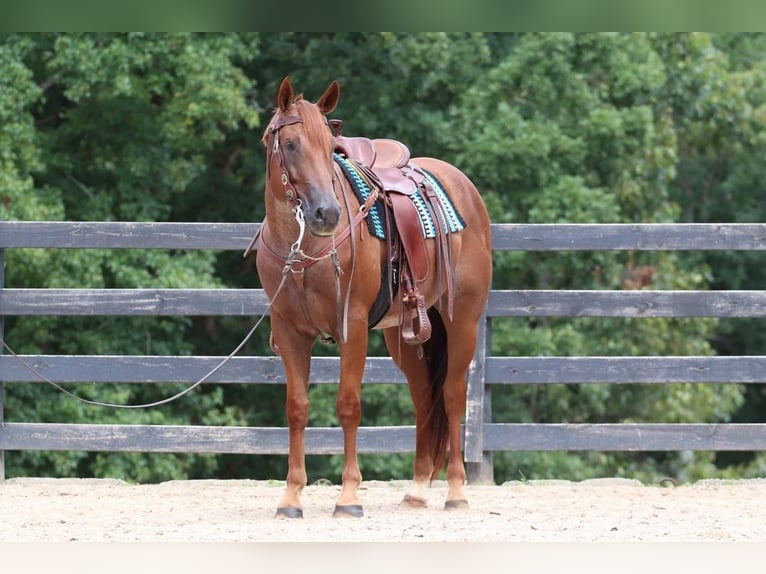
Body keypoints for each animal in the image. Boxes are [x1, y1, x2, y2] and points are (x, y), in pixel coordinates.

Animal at [249, 76, 496, 520]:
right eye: (290, 144)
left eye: (332, 148)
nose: (327, 214)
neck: (304, 249)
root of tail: (463, 187)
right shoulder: (289, 332)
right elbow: (297, 408)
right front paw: (291, 498)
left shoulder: (354, 327)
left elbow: (348, 404)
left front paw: (348, 496)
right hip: (409, 336)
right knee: (423, 397)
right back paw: (416, 489)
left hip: (463, 321)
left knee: (452, 396)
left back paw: (455, 491)